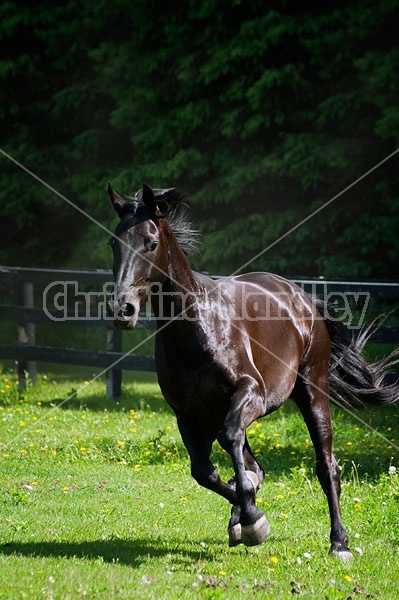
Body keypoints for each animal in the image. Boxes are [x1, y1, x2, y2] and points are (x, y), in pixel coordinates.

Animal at [108, 182, 398, 556]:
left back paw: (339, 543)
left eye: (151, 243)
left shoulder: (251, 394)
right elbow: (205, 471)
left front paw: (251, 520)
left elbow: (231, 445)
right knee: (250, 464)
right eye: (114, 244)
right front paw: (247, 517)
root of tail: (302, 298)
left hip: (312, 392)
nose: (122, 310)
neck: (196, 328)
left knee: (326, 466)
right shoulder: (186, 415)